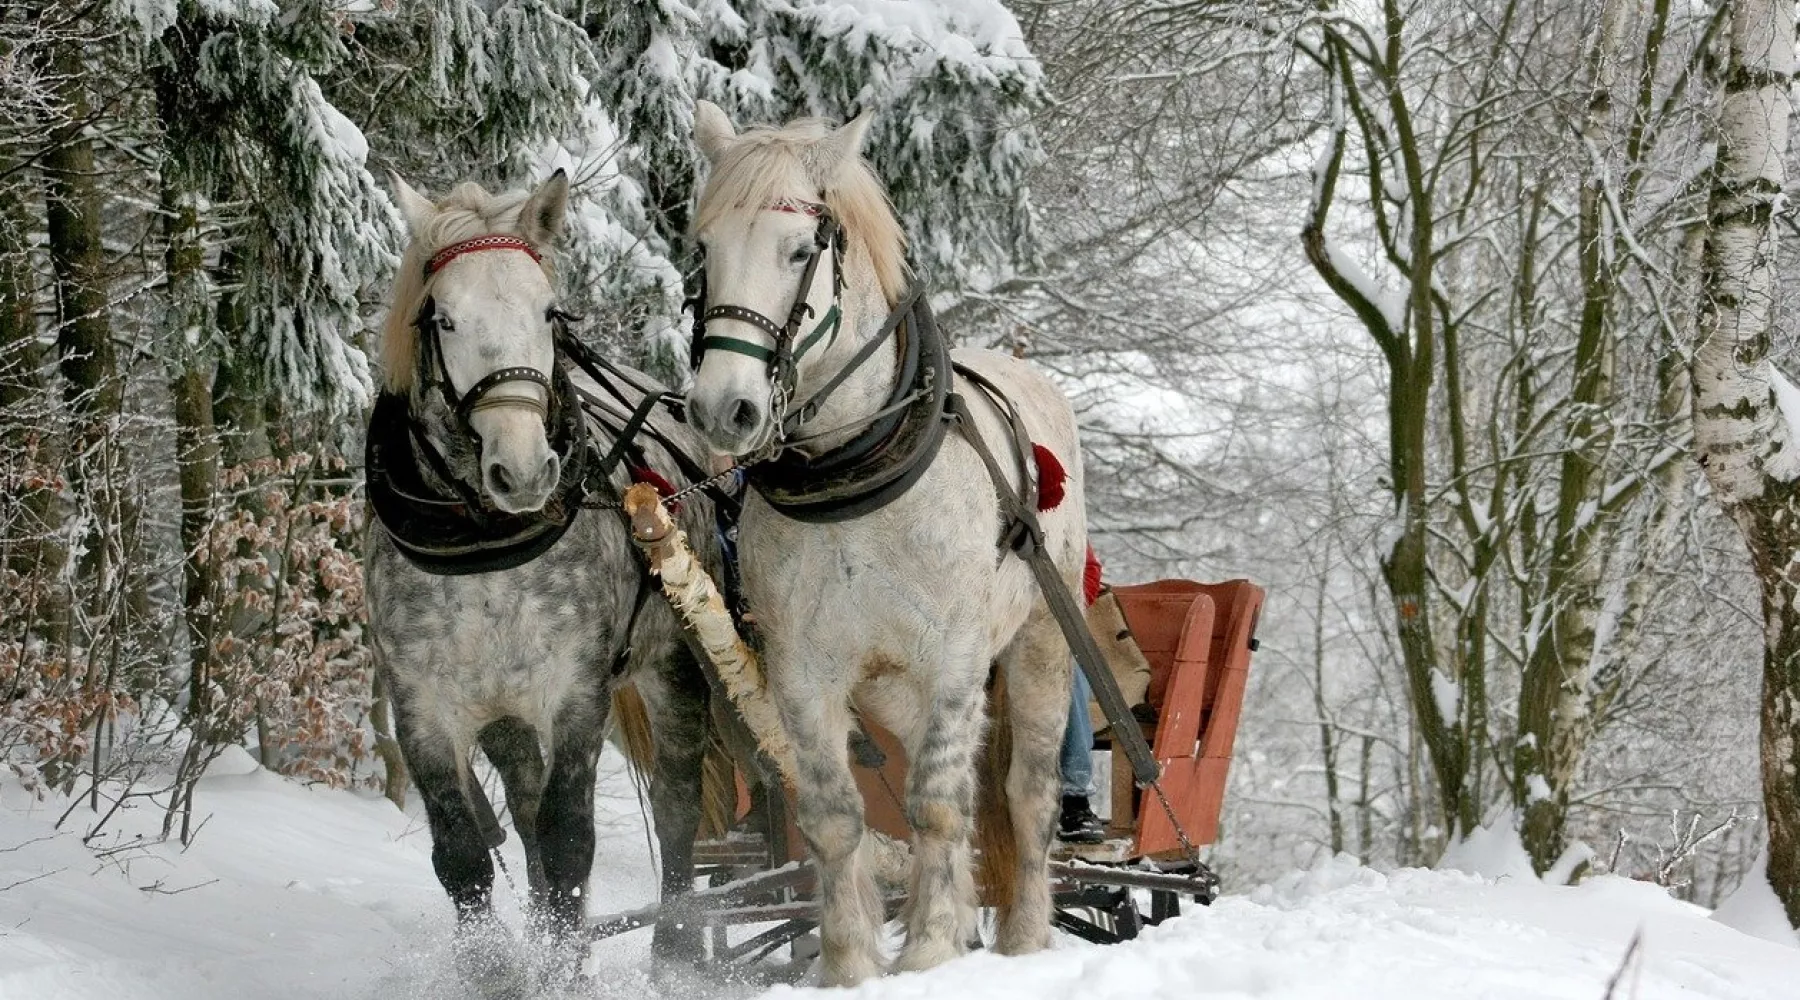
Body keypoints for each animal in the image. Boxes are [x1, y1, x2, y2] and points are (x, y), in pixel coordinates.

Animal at [684, 103, 1080, 985]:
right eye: (704, 250)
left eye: (800, 250)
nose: (724, 410)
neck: (854, 473)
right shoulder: (803, 669)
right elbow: (836, 815)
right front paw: (851, 964)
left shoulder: (957, 657)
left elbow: (936, 802)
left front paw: (929, 950)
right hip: (892, 684)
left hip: (1038, 643)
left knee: (1024, 792)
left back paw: (1025, 937)